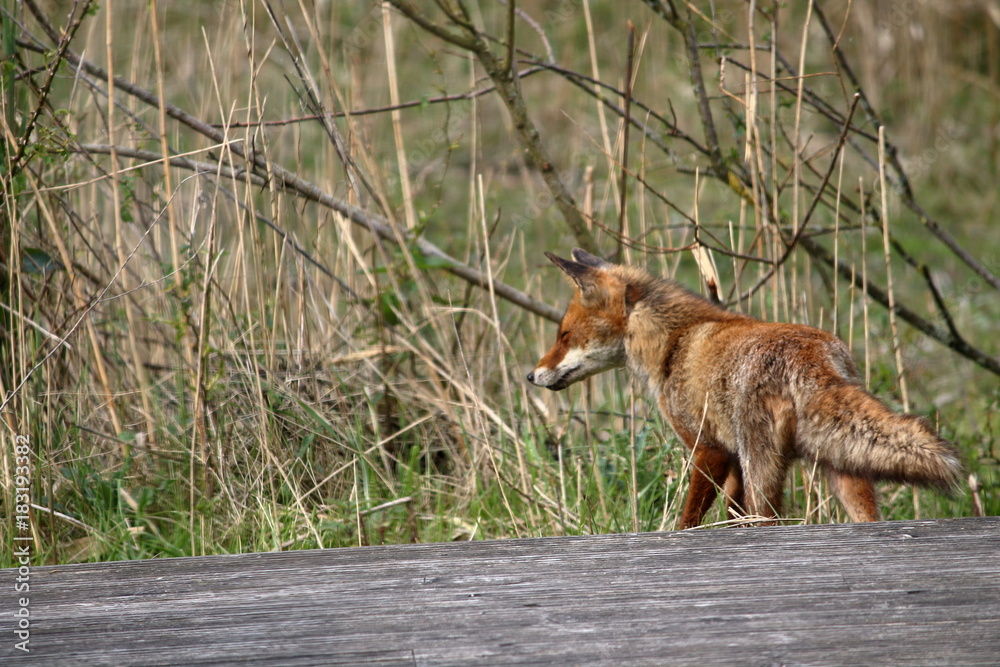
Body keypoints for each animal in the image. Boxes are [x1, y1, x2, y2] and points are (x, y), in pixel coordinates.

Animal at [528, 249, 964, 528]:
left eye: (563, 335)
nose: (531, 376)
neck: (673, 344)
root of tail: (816, 355)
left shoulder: (709, 449)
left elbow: (688, 521)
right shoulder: (733, 460)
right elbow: (731, 520)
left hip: (764, 472)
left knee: (768, 522)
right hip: (841, 471)